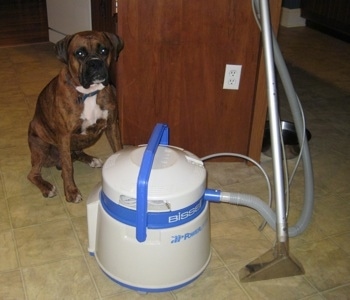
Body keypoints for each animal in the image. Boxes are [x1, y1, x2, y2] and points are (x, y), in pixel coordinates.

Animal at [27, 30, 123, 203]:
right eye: (80, 53)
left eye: (104, 51)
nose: (95, 63)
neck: (89, 93)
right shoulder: (64, 136)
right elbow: (67, 167)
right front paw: (71, 191)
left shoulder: (112, 125)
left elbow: (117, 149)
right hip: (41, 146)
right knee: (33, 174)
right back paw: (47, 187)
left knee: (76, 153)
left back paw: (91, 160)